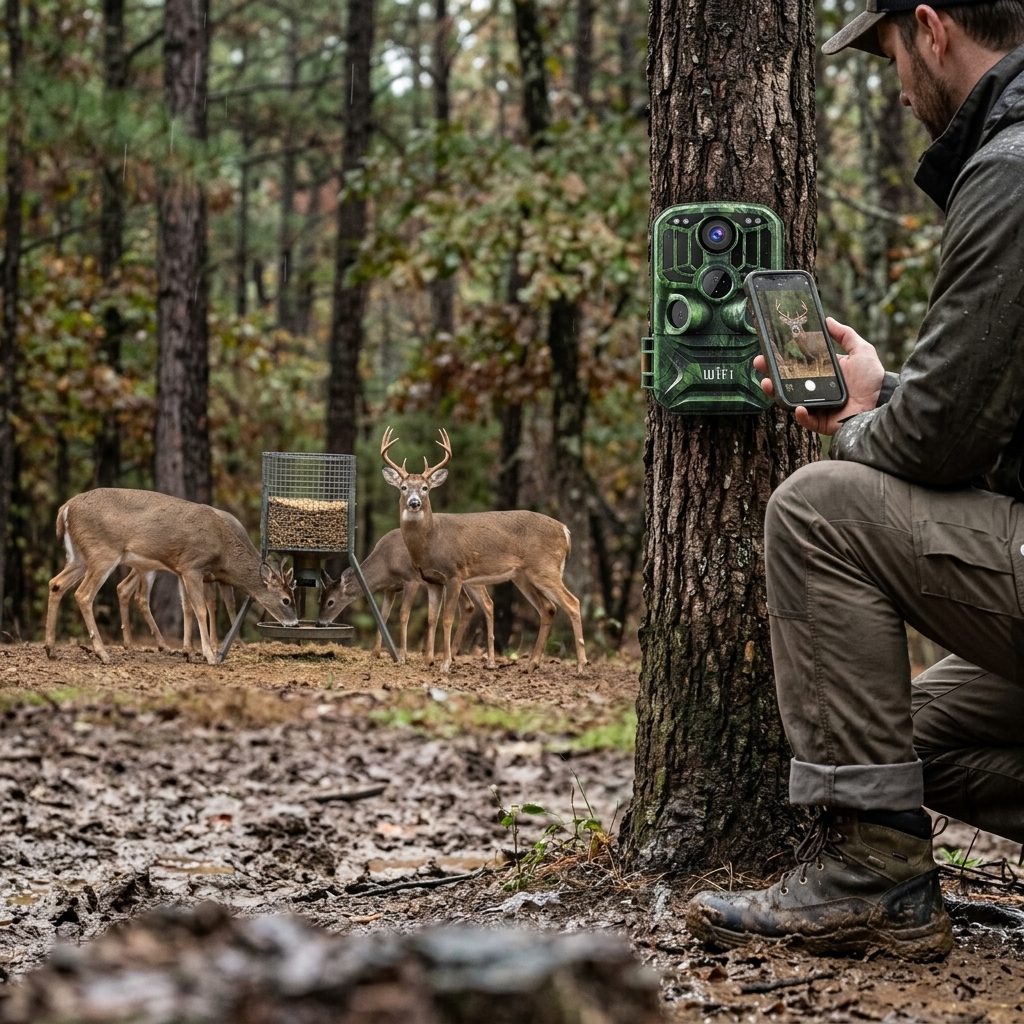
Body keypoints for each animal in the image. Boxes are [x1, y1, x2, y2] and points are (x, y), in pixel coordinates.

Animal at [46, 488, 297, 665]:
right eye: (286, 600)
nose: (294, 623)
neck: (222, 550)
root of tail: (65, 509)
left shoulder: (181, 569)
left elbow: (187, 608)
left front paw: (189, 652)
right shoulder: (193, 567)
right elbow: (201, 609)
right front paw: (209, 655)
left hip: (79, 557)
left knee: (56, 584)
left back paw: (51, 649)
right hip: (103, 552)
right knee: (84, 594)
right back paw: (103, 654)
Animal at [317, 529, 494, 665]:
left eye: (331, 602)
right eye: (319, 600)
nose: (319, 623)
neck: (386, 564)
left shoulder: (411, 580)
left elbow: (403, 614)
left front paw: (402, 656)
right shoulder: (390, 589)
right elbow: (383, 616)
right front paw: (375, 653)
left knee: (487, 602)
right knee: (468, 606)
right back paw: (451, 653)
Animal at [380, 427, 587, 674]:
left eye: (425, 488)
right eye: (403, 487)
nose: (414, 503)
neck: (431, 540)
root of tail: (565, 530)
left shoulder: (455, 573)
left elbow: (447, 618)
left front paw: (445, 663)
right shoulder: (432, 580)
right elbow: (432, 618)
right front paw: (428, 661)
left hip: (545, 568)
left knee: (573, 603)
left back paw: (581, 665)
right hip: (523, 575)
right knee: (548, 608)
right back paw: (531, 664)